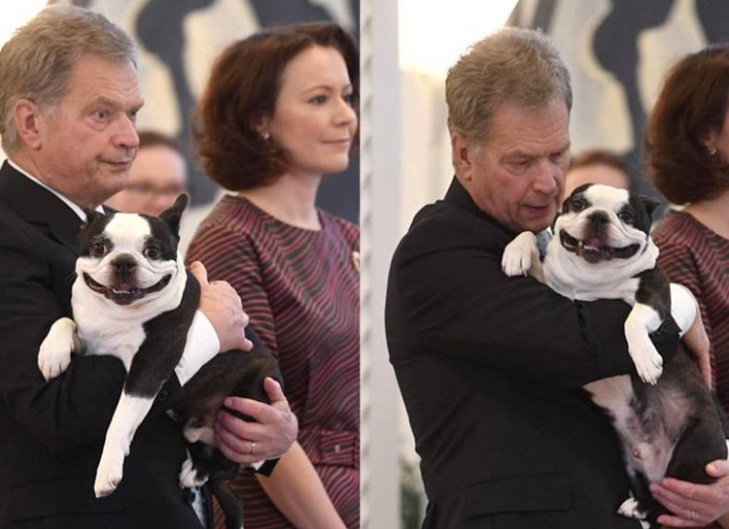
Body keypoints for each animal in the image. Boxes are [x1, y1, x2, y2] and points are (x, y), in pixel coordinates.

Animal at [36, 194, 282, 528]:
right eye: (100, 247)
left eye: (152, 251)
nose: (123, 261)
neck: (116, 313)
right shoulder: (89, 341)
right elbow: (65, 320)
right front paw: (52, 353)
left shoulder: (148, 366)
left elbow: (120, 419)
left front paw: (108, 470)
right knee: (231, 493)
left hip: (250, 399)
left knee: (232, 464)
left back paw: (198, 471)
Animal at [504, 184, 724, 524]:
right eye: (578, 203)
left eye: (626, 215)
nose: (598, 217)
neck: (591, 278)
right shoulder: (552, 289)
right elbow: (528, 235)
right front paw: (515, 252)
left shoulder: (656, 297)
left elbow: (631, 321)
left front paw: (646, 360)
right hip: (629, 461)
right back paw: (637, 505)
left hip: (694, 449)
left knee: (669, 503)